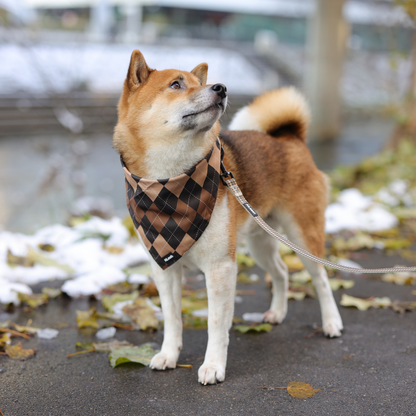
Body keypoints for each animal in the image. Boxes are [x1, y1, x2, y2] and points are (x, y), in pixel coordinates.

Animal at [112, 50, 342, 386]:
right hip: (261, 240)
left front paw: (213, 366)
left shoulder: (220, 266)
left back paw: (332, 322)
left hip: (303, 235)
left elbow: (216, 324)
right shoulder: (165, 267)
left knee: (321, 278)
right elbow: (172, 318)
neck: (169, 184)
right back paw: (277, 313)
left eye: (198, 83)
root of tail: (290, 138)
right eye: (176, 84)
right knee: (282, 271)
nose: (220, 87)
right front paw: (168, 355)